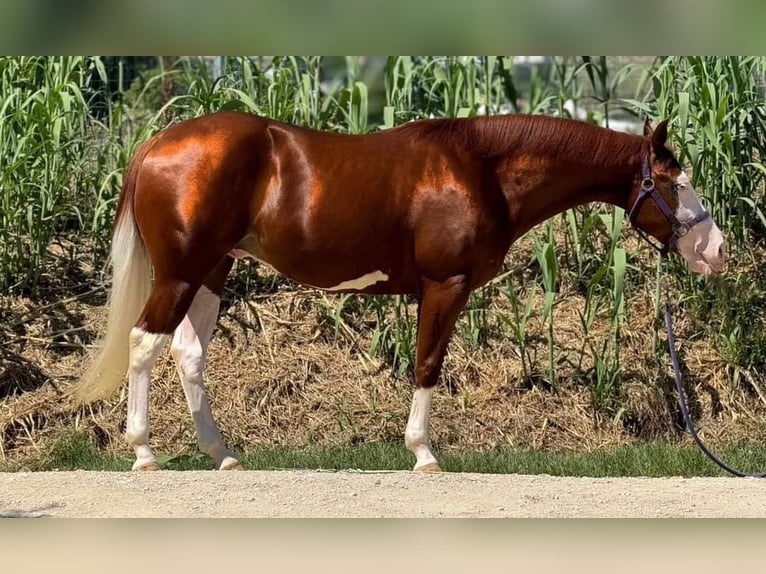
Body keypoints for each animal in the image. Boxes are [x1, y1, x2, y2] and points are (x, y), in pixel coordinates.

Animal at [75, 111, 728, 472]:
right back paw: (144, 454)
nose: (716, 250)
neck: (481, 168)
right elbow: (427, 364)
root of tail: (155, 144)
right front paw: (424, 455)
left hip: (213, 272)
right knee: (144, 344)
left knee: (189, 354)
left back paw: (223, 454)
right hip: (182, 273)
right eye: (674, 182)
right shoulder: (445, 286)